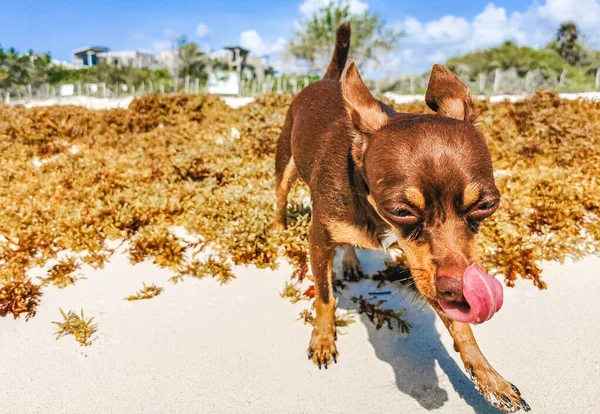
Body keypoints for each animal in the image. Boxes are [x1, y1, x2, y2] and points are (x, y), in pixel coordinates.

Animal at [274, 24, 528, 412]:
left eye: (486, 205)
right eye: (400, 211)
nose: (459, 290)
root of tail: (328, 80)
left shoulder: (427, 265)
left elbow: (461, 328)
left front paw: (489, 377)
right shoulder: (318, 240)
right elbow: (325, 296)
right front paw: (323, 339)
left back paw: (350, 261)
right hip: (285, 164)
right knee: (280, 196)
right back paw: (277, 228)